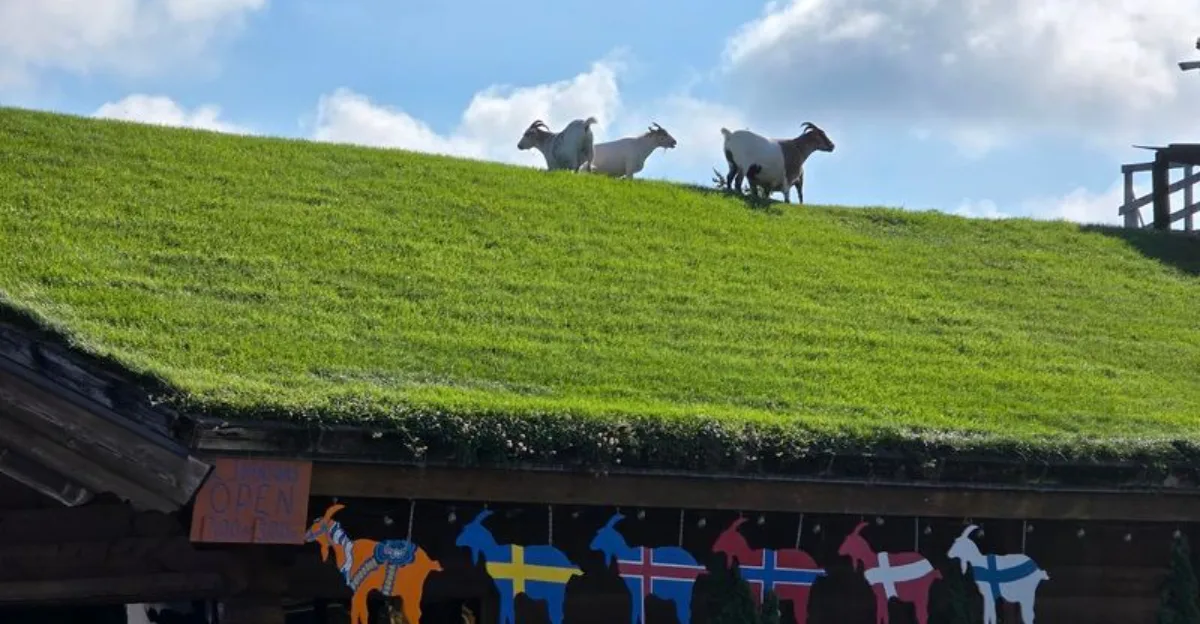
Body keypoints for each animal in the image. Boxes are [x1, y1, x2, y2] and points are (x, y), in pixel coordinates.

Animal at [305, 503, 444, 624]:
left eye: (319, 525)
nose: (306, 535)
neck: (349, 551)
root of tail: (429, 562)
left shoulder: (361, 589)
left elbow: (359, 612)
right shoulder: (360, 591)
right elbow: (361, 612)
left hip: (412, 591)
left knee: (413, 613)